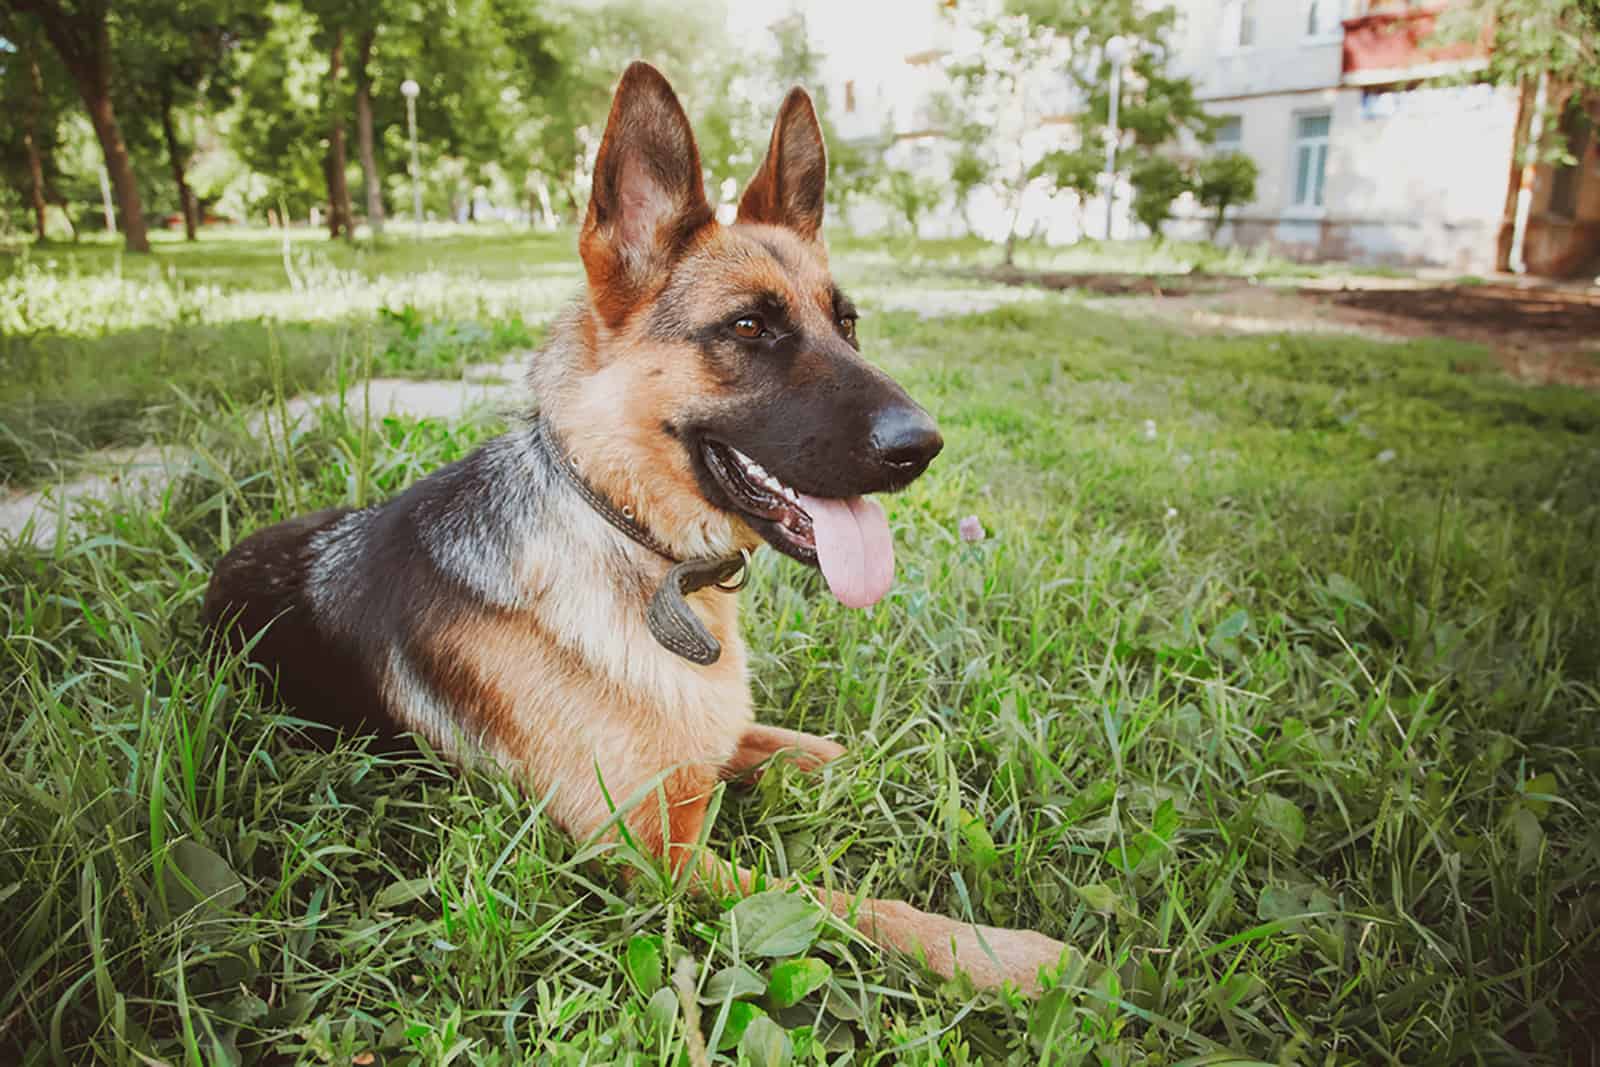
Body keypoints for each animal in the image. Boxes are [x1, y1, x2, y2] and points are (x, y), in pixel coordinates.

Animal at [206, 62, 1068, 998]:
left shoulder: (717, 747)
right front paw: (999, 952)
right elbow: (849, 904)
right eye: (749, 327)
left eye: (847, 324)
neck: (634, 541)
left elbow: (836, 747)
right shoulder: (659, 858)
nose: (924, 446)